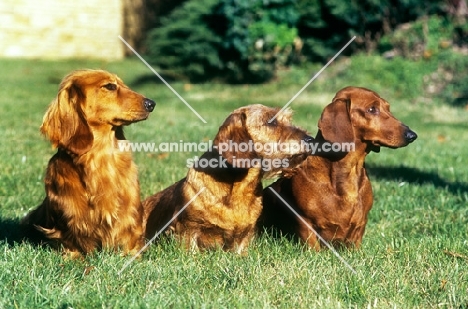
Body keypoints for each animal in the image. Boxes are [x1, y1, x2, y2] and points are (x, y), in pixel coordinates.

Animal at [262, 86, 418, 248]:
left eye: (388, 108)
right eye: (372, 109)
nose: (412, 135)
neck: (349, 171)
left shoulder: (360, 227)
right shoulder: (305, 223)